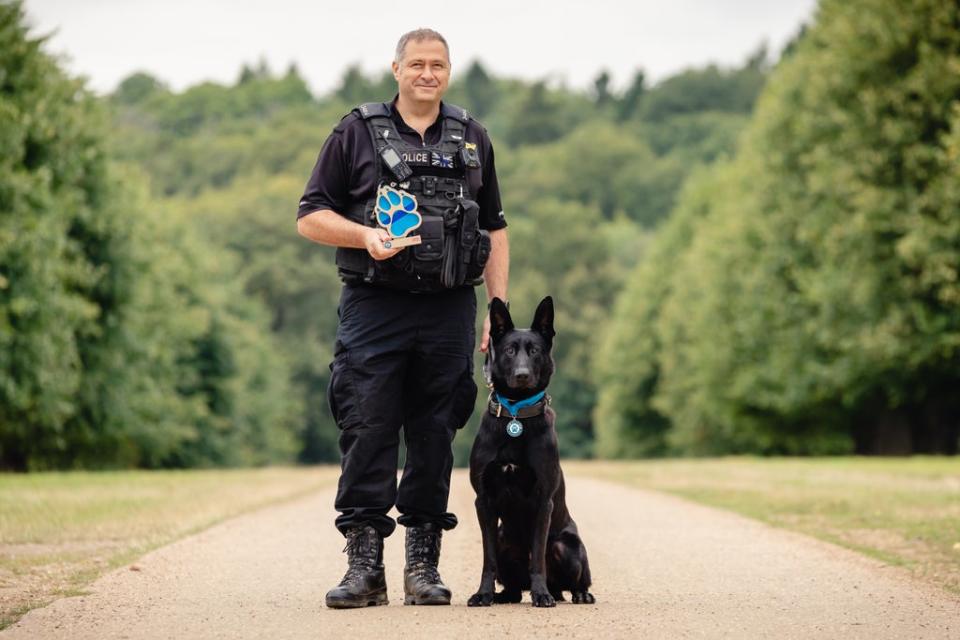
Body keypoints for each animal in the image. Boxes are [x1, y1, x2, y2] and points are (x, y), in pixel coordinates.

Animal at [464, 298, 592, 608]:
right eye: (509, 351)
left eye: (534, 351)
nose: (522, 376)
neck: (516, 414)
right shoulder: (483, 501)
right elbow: (488, 559)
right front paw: (482, 594)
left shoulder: (543, 501)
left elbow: (538, 560)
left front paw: (540, 594)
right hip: (504, 540)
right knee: (511, 583)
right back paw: (504, 595)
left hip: (567, 546)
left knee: (573, 579)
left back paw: (572, 593)